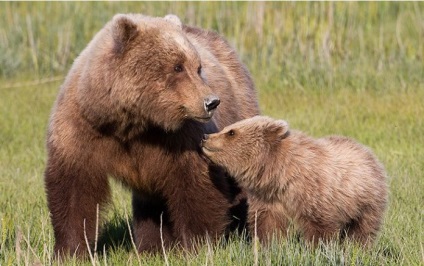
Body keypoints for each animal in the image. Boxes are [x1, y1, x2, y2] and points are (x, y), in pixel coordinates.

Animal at [45, 14, 258, 258]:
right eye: (177, 67)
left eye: (197, 68)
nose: (211, 101)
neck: (133, 122)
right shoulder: (82, 128)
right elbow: (74, 188)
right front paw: (69, 250)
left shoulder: (181, 137)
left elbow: (197, 183)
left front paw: (197, 244)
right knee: (150, 204)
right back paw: (152, 246)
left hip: (238, 111)